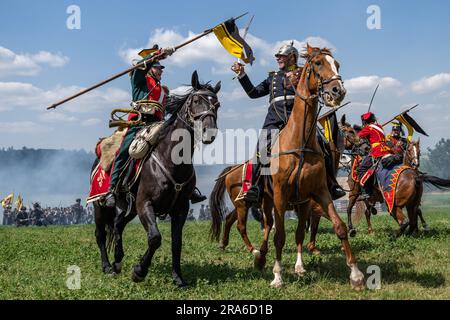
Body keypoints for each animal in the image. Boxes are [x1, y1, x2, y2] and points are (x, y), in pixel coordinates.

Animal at [94, 71, 221, 286]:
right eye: (196, 100)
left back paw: (118, 261)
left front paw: (178, 278)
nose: (209, 132)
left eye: (217, 104)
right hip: (100, 205)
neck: (170, 158)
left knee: (118, 224)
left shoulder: (180, 209)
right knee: (101, 235)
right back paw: (106, 266)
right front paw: (139, 271)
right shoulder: (145, 204)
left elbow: (176, 243)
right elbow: (155, 238)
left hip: (130, 209)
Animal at [211, 45, 366, 290]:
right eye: (318, 63)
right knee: (262, 227)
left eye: (337, 64)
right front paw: (277, 276)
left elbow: (337, 227)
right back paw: (258, 255)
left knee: (288, 231)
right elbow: (280, 236)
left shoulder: (318, 194)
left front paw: (356, 274)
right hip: (260, 201)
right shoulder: (280, 197)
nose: (337, 90)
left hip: (292, 203)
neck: (299, 143)